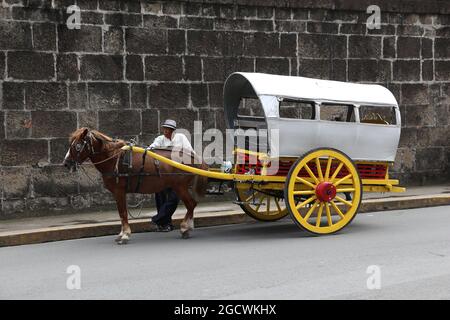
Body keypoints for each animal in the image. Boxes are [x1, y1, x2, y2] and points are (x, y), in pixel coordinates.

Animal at [62, 128, 208, 245]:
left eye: (78, 145)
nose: (66, 163)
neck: (113, 158)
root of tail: (193, 157)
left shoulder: (119, 191)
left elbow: (123, 213)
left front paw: (125, 235)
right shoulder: (118, 193)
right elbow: (122, 213)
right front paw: (122, 234)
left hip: (180, 186)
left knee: (191, 204)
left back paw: (185, 228)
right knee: (191, 205)